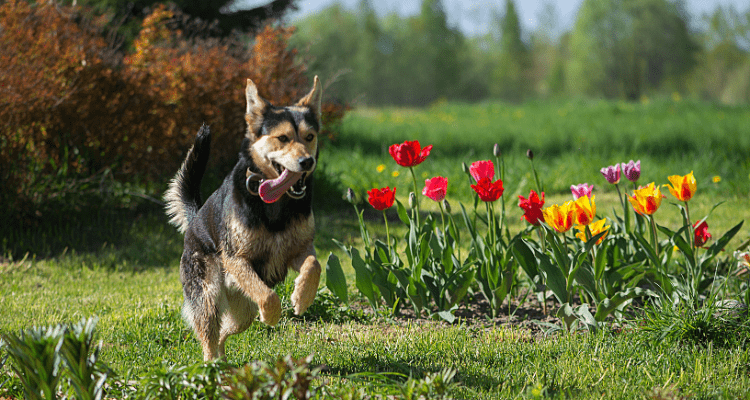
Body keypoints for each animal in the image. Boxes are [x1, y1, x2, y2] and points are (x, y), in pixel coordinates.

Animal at [164, 76, 324, 360]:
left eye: (310, 137)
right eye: (282, 138)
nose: (307, 161)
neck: (276, 203)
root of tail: (195, 219)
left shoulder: (299, 249)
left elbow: (314, 265)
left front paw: (302, 297)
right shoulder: (236, 258)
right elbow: (268, 296)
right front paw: (272, 316)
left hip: (243, 312)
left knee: (224, 332)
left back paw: (223, 361)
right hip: (208, 296)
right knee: (209, 336)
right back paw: (210, 365)